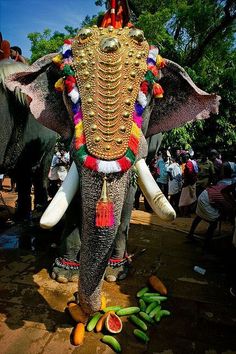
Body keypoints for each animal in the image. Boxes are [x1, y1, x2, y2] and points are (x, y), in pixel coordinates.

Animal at [6, 26, 220, 316]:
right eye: (68, 96)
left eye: (147, 99)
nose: (92, 309)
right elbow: (74, 198)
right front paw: (63, 274)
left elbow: (128, 196)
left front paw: (115, 273)